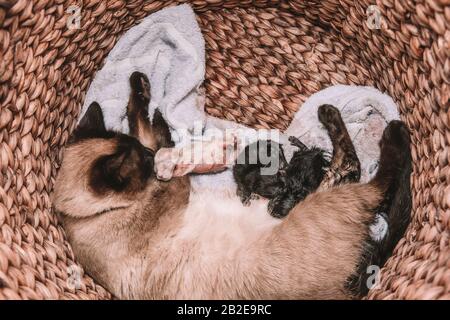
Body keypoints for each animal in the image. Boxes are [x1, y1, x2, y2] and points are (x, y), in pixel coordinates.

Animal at [51, 71, 412, 298]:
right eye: (143, 163)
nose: (153, 160)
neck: (81, 218)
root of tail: (349, 288)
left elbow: (141, 121)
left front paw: (142, 90)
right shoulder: (174, 188)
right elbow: (151, 132)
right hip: (329, 199)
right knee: (365, 174)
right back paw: (385, 129)